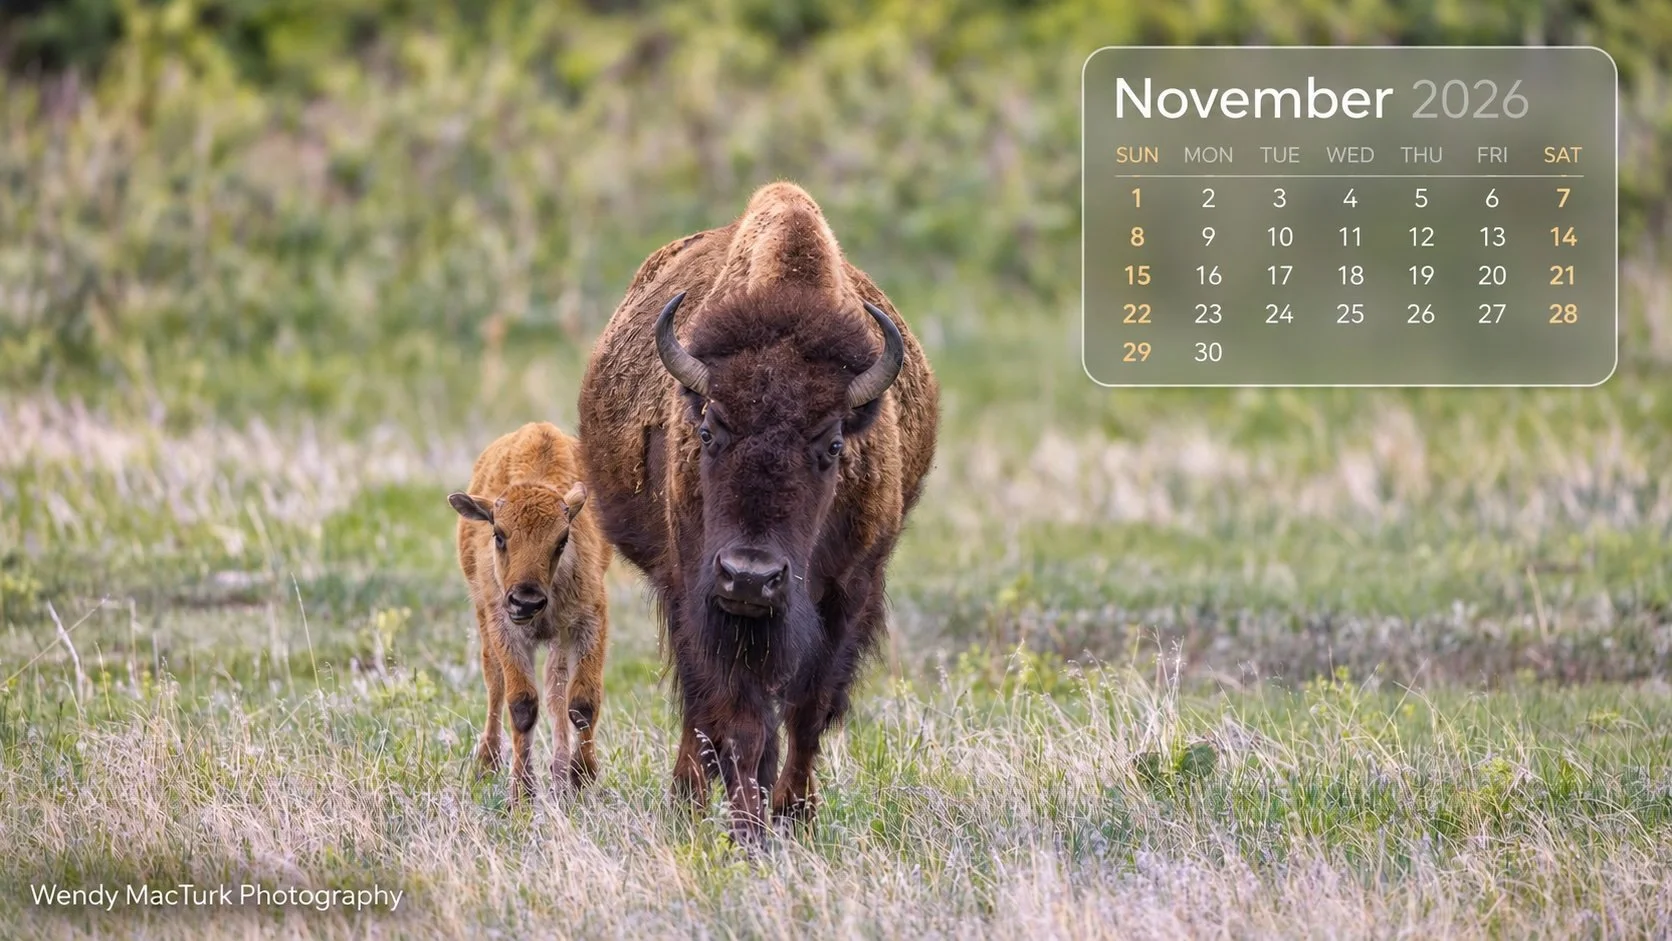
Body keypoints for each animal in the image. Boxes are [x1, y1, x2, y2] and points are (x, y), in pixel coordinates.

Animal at [578, 182, 939, 843]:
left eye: (833, 445)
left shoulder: (847, 593)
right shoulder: (704, 595)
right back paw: (689, 798)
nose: (751, 575)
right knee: (701, 706)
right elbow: (740, 720)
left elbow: (808, 711)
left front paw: (794, 815)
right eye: (709, 429)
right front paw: (748, 830)